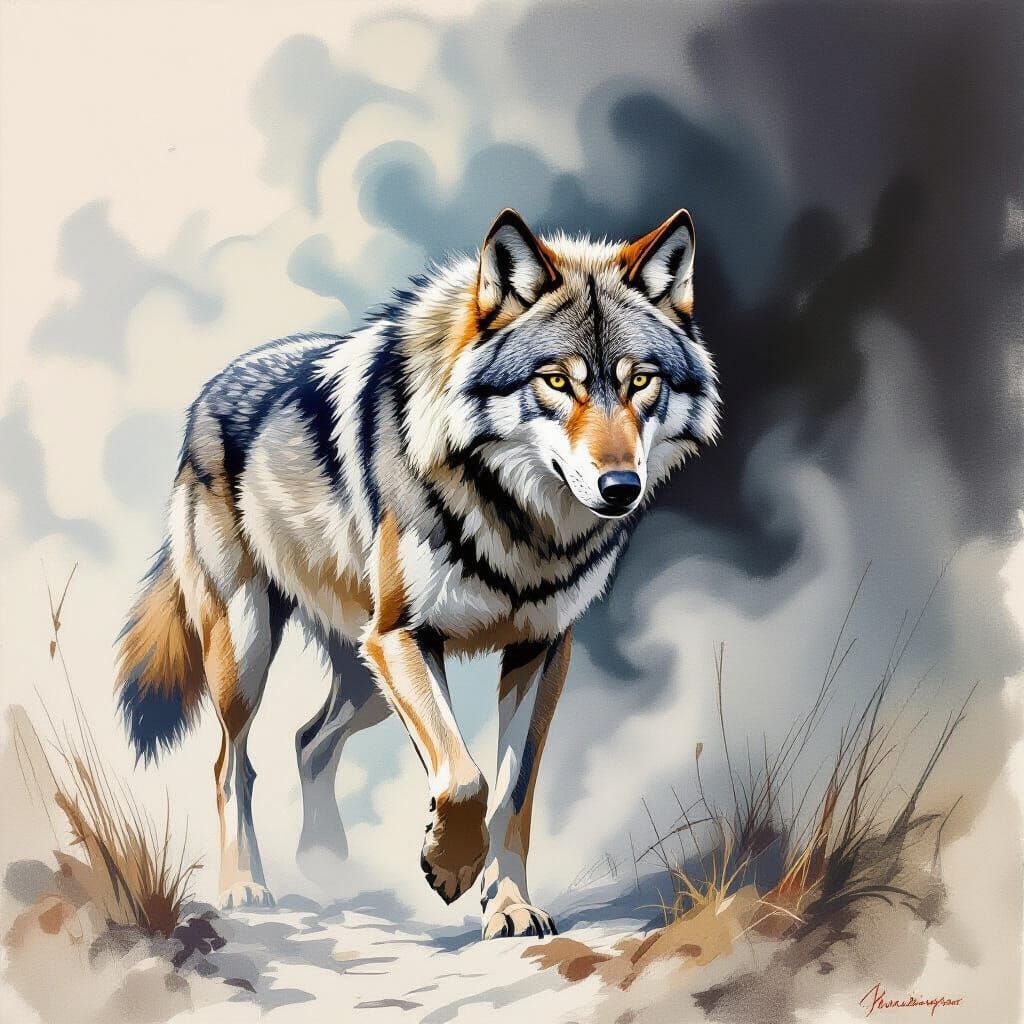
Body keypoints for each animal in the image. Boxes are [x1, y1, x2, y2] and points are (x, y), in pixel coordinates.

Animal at [115, 208, 720, 938]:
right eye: (555, 381)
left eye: (641, 381)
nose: (620, 486)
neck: (520, 523)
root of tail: (208, 392)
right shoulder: (406, 636)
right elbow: (464, 778)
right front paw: (449, 867)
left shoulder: (542, 649)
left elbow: (512, 794)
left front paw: (509, 906)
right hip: (254, 650)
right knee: (232, 764)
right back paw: (245, 888)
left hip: (364, 674)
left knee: (308, 741)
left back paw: (327, 869)